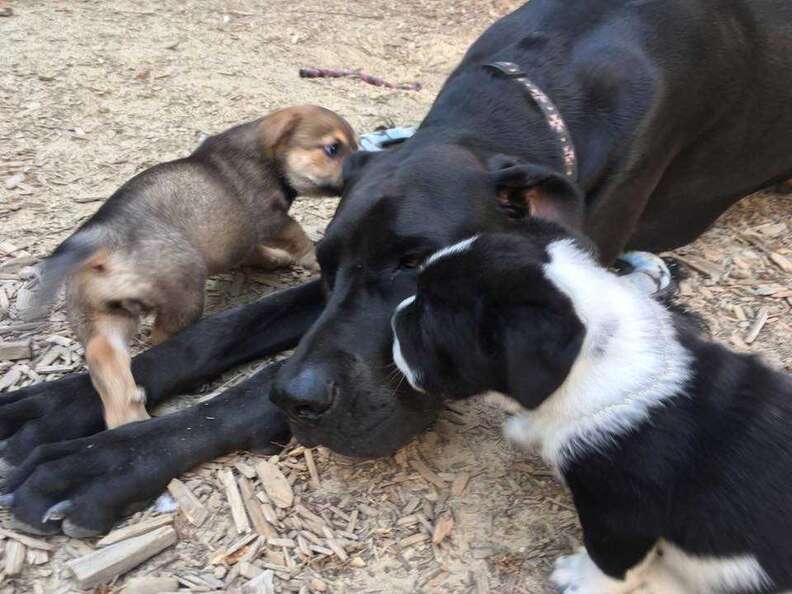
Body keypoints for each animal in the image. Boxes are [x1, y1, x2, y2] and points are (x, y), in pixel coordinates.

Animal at [34, 105, 356, 426]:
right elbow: (297, 236)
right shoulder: (270, 220)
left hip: (101, 316)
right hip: (184, 294)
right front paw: (312, 258)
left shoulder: (245, 237)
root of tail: (101, 242)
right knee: (159, 338)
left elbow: (254, 252)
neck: (267, 154)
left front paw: (276, 260)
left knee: (103, 356)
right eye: (333, 148)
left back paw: (128, 416)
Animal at [390, 221, 792, 592]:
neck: (596, 357)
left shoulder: (619, 516)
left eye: (427, 326)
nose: (394, 317)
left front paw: (581, 579)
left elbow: (610, 561)